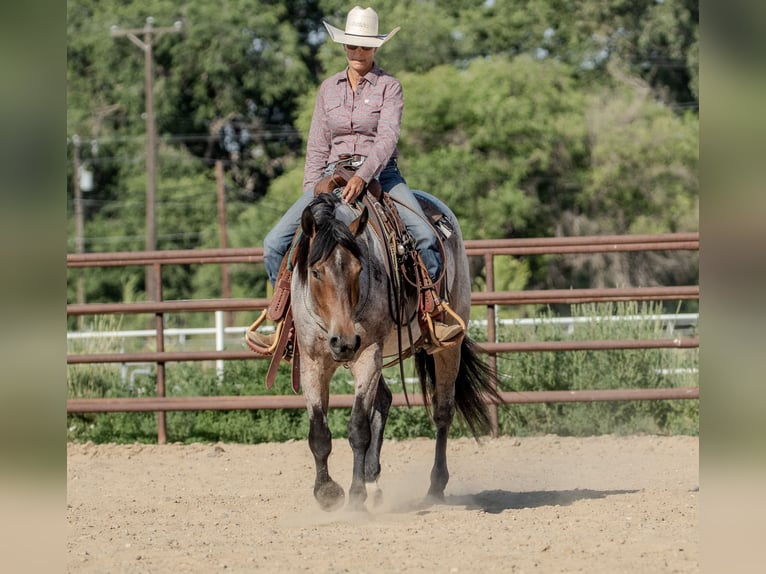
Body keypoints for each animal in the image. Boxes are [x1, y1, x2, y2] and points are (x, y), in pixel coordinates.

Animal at [292, 191, 500, 510]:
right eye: (315, 272)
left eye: (359, 269)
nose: (344, 341)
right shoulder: (312, 361)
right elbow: (318, 432)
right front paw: (327, 493)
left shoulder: (367, 353)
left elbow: (358, 428)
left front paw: (355, 497)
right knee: (384, 401)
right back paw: (374, 483)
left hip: (446, 345)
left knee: (442, 411)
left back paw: (434, 486)